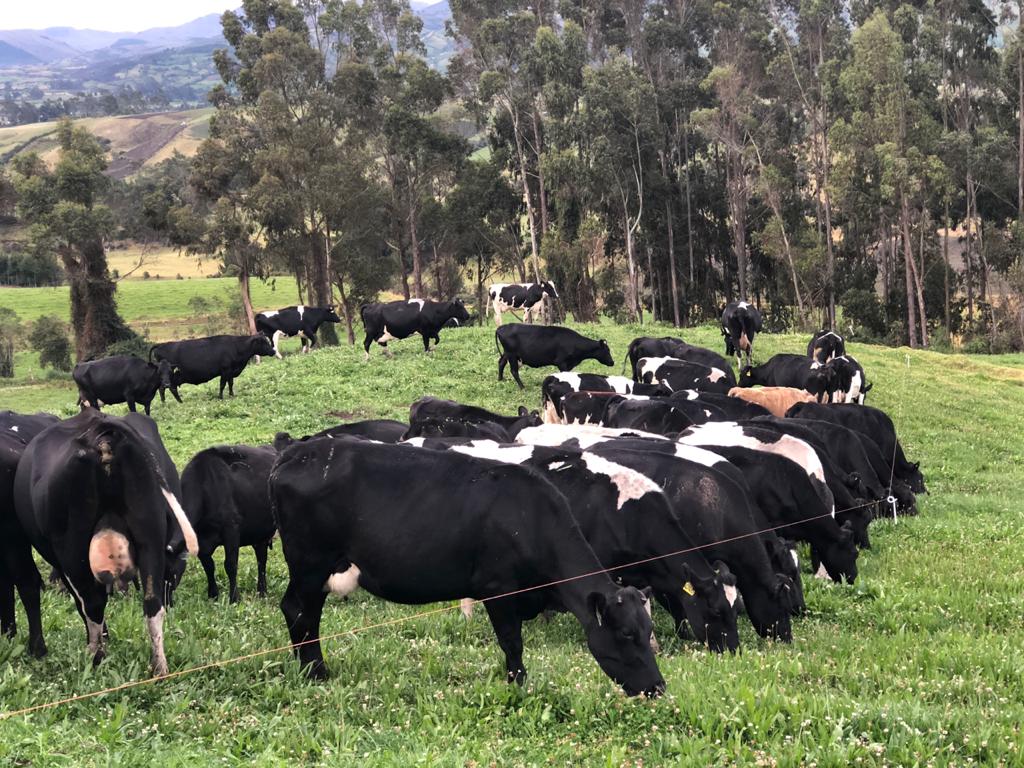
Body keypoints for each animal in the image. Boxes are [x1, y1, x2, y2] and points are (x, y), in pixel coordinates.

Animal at [12, 411, 197, 675]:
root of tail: (100, 429)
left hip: (73, 551)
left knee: (93, 604)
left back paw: (95, 657)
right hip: (149, 538)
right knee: (152, 604)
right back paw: (159, 668)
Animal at [178, 448, 278, 606]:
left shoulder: (231, 530)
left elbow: (230, 565)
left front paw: (234, 598)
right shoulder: (200, 541)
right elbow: (208, 566)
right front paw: (213, 595)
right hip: (260, 533)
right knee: (261, 559)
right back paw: (262, 592)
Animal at [272, 438, 667, 696]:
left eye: (648, 630)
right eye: (626, 634)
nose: (658, 687)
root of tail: (294, 454)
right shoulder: (499, 589)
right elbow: (512, 642)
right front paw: (518, 686)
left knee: (304, 615)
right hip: (310, 563)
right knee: (298, 611)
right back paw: (315, 674)